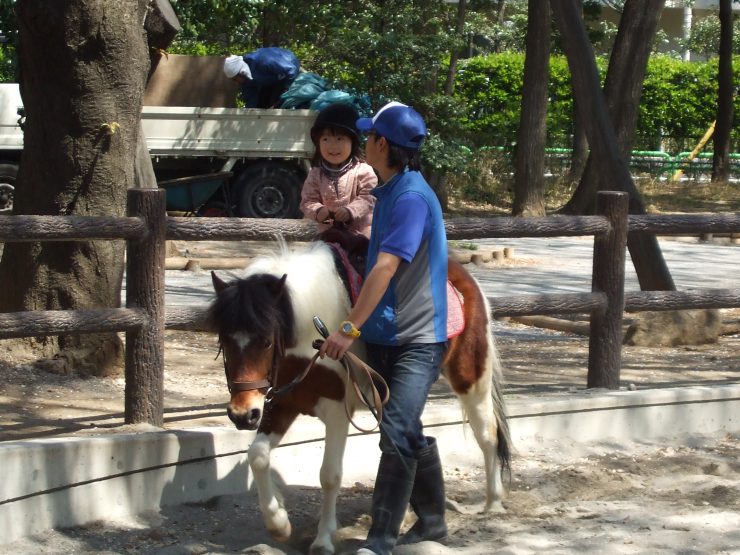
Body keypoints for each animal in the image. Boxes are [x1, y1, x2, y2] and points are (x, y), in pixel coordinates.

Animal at [207, 240, 508, 555]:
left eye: (266, 341)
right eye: (224, 340)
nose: (242, 414)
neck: (309, 339)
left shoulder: (337, 412)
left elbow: (329, 475)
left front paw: (323, 539)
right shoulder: (282, 404)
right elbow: (257, 456)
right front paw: (279, 523)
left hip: (470, 378)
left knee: (487, 434)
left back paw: (493, 502)